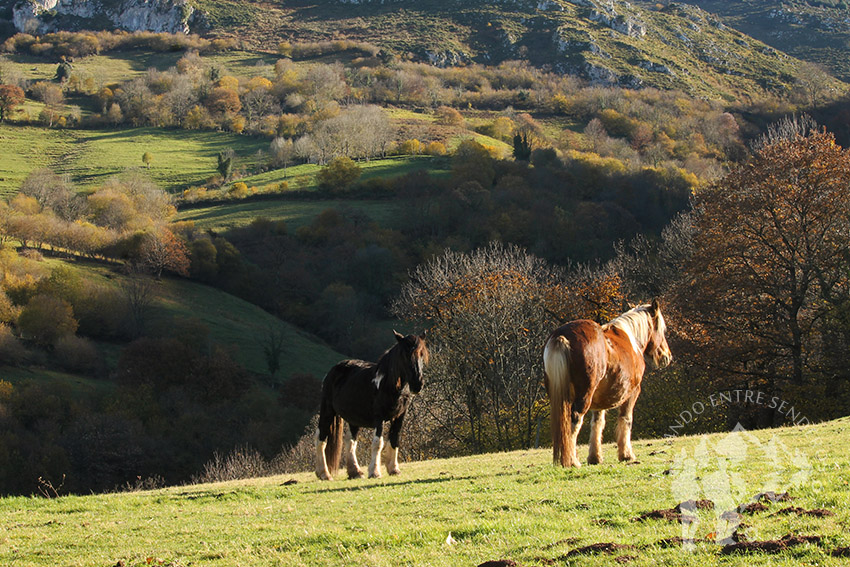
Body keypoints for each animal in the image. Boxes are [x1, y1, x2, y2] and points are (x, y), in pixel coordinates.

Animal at [314, 330, 428, 482]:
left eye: (422, 354)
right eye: (404, 354)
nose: (417, 384)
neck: (387, 384)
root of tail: (332, 372)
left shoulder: (400, 416)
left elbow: (394, 439)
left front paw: (394, 469)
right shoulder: (379, 418)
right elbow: (378, 443)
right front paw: (374, 472)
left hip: (353, 419)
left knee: (350, 441)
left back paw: (355, 472)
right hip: (327, 411)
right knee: (321, 439)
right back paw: (324, 473)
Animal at [544, 300, 668, 468]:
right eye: (661, 329)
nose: (667, 356)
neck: (632, 340)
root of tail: (562, 336)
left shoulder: (599, 402)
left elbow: (597, 424)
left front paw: (595, 457)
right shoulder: (632, 393)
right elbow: (626, 420)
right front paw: (626, 455)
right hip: (583, 397)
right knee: (574, 422)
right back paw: (572, 461)